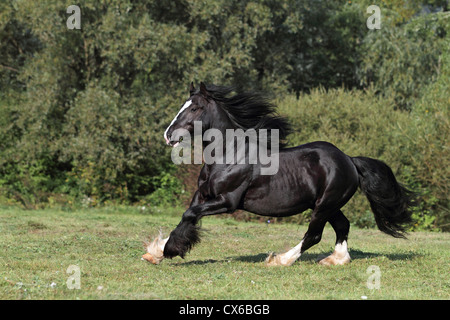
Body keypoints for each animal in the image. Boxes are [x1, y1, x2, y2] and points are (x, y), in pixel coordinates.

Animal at [142, 82, 414, 264]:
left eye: (195, 108)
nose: (168, 135)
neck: (228, 155)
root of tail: (349, 159)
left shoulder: (227, 201)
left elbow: (189, 215)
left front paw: (166, 250)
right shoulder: (203, 195)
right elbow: (187, 216)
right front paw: (158, 251)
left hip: (324, 205)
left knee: (314, 235)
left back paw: (280, 260)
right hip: (327, 204)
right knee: (342, 225)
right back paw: (335, 260)